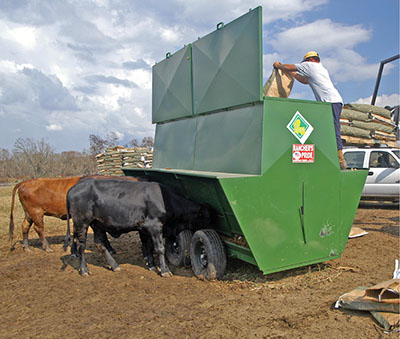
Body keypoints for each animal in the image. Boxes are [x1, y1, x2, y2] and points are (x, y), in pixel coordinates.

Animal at [9, 175, 141, 252]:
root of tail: (24, 183)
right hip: (36, 212)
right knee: (39, 228)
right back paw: (47, 247)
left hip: (29, 214)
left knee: (25, 226)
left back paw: (26, 247)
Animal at [65, 179, 212, 278]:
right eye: (205, 216)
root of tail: (74, 187)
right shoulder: (155, 226)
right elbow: (159, 248)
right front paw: (164, 270)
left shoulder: (145, 229)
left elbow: (148, 247)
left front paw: (152, 265)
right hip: (81, 223)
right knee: (81, 245)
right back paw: (84, 269)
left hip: (97, 224)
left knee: (99, 243)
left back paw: (115, 266)